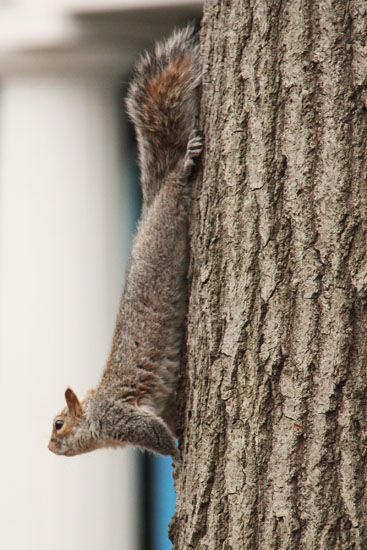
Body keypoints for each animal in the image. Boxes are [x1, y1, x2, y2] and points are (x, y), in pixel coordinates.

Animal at [47, 25, 203, 460]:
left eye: (58, 424)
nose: (49, 447)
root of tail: (147, 213)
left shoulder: (122, 417)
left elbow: (156, 436)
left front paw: (178, 456)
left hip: (166, 228)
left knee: (174, 189)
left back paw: (183, 165)